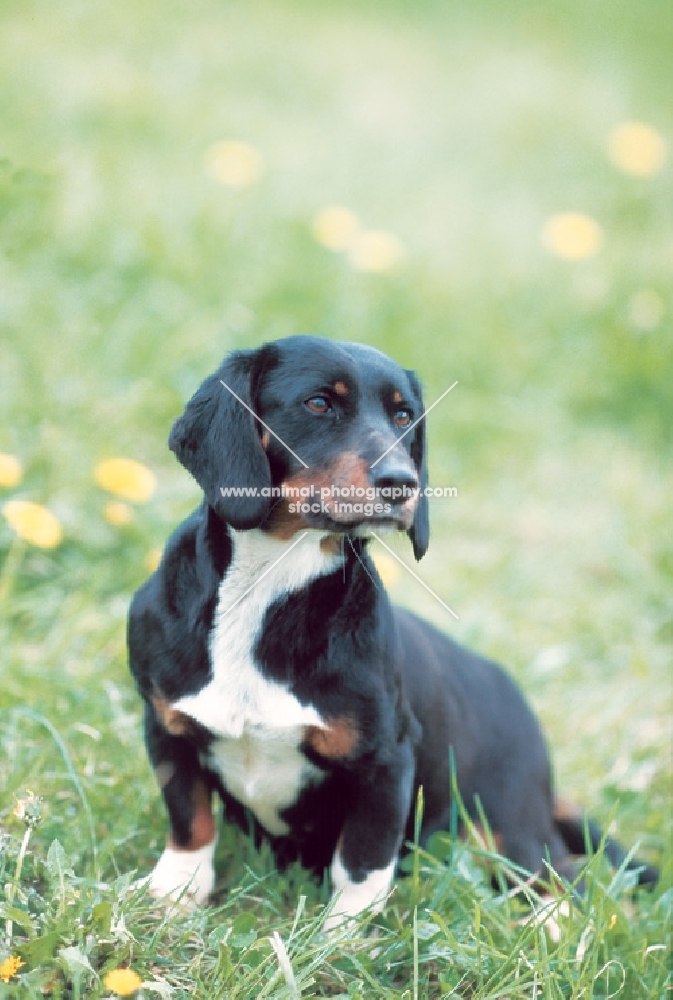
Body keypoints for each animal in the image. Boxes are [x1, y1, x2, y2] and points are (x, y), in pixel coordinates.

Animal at [127, 336, 656, 928]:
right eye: (318, 403)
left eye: (404, 416)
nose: (402, 483)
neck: (270, 589)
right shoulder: (166, 726)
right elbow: (190, 818)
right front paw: (175, 893)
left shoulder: (386, 762)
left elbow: (361, 863)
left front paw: (342, 934)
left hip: (504, 826)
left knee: (562, 877)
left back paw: (553, 927)